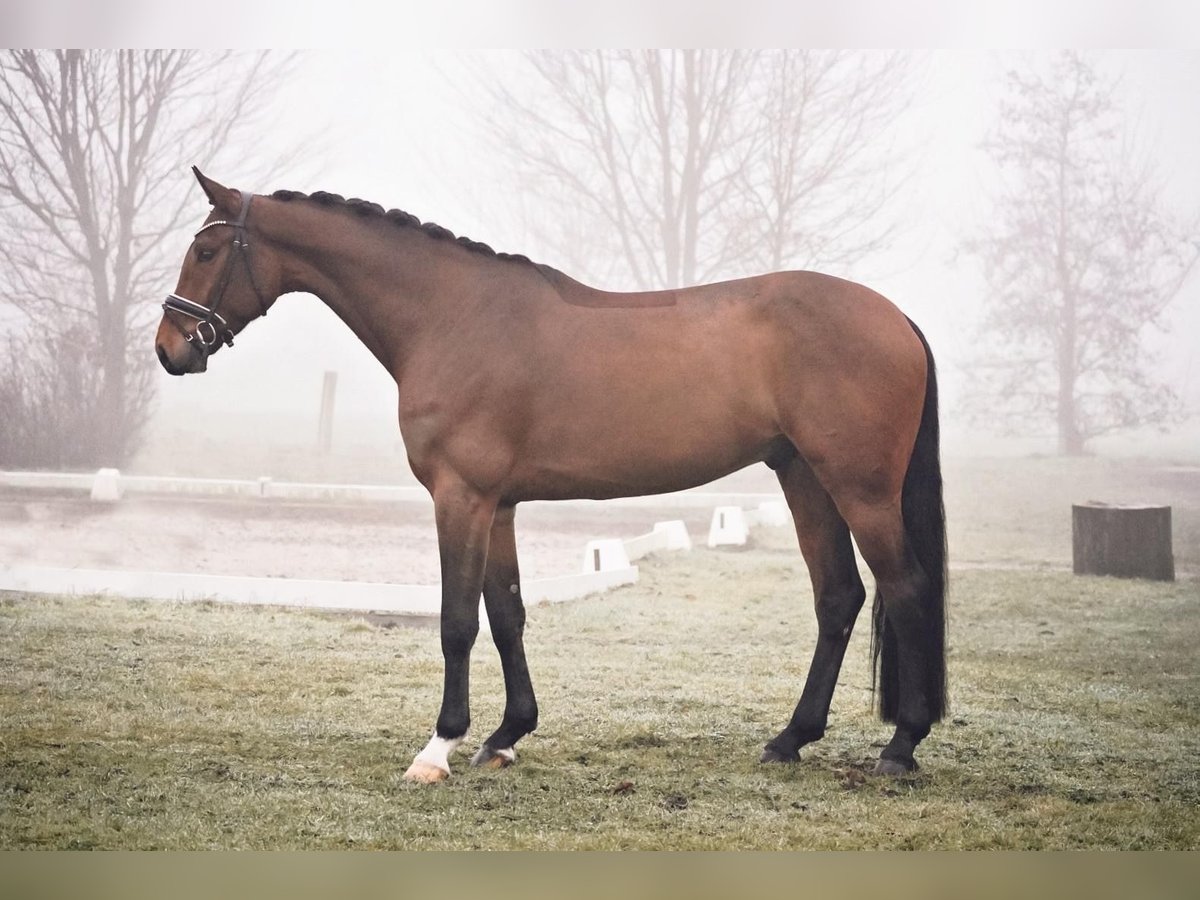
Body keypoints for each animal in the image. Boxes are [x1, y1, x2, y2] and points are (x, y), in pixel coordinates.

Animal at [157, 169, 945, 782]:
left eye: (206, 249)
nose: (170, 349)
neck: (453, 317)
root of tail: (897, 318)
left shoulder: (460, 498)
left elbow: (456, 622)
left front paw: (437, 748)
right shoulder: (498, 505)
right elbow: (507, 614)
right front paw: (506, 736)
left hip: (861, 490)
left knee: (905, 588)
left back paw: (901, 746)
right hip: (804, 477)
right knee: (838, 598)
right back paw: (790, 739)